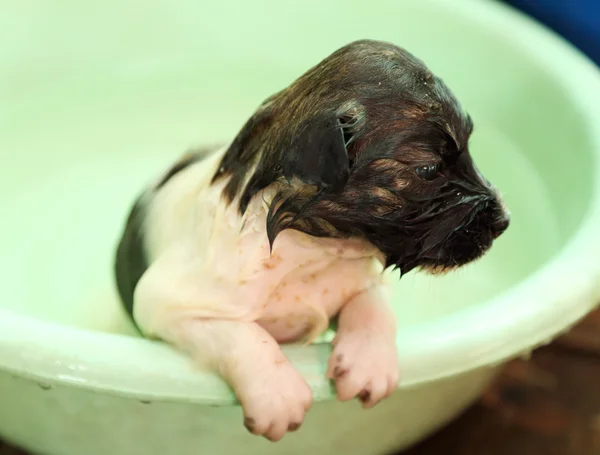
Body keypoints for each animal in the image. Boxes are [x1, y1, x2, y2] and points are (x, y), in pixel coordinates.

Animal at [115, 39, 508, 442]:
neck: (315, 248)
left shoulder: (366, 276)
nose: (504, 222)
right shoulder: (166, 303)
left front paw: (369, 363)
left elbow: (372, 305)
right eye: (428, 170)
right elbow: (240, 335)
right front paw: (277, 394)